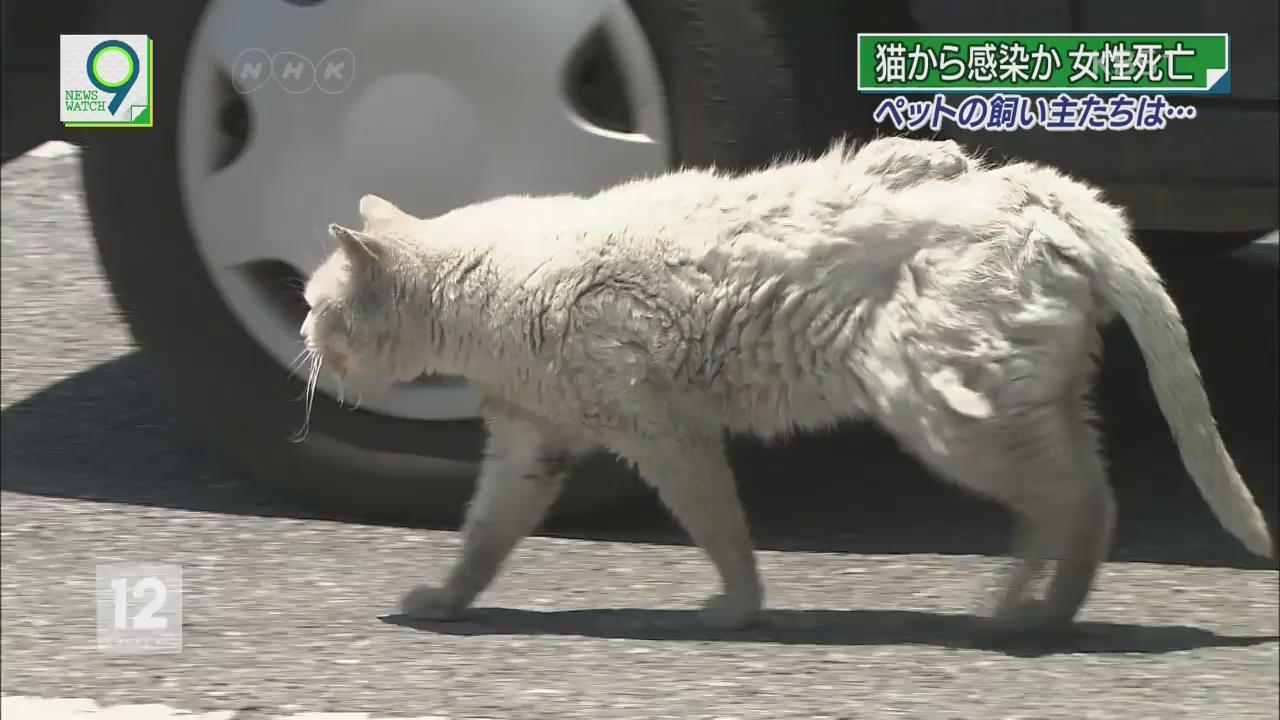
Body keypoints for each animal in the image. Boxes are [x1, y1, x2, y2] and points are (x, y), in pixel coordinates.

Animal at [302, 137, 1269, 635]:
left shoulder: (665, 434)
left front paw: (737, 610)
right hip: (1017, 402)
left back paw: (1022, 615)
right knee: (1081, 496)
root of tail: (1042, 192)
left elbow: (721, 530)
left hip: (941, 411)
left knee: (1082, 502)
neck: (482, 289)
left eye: (314, 306)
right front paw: (441, 603)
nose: (302, 339)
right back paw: (1033, 608)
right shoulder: (529, 447)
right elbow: (481, 540)